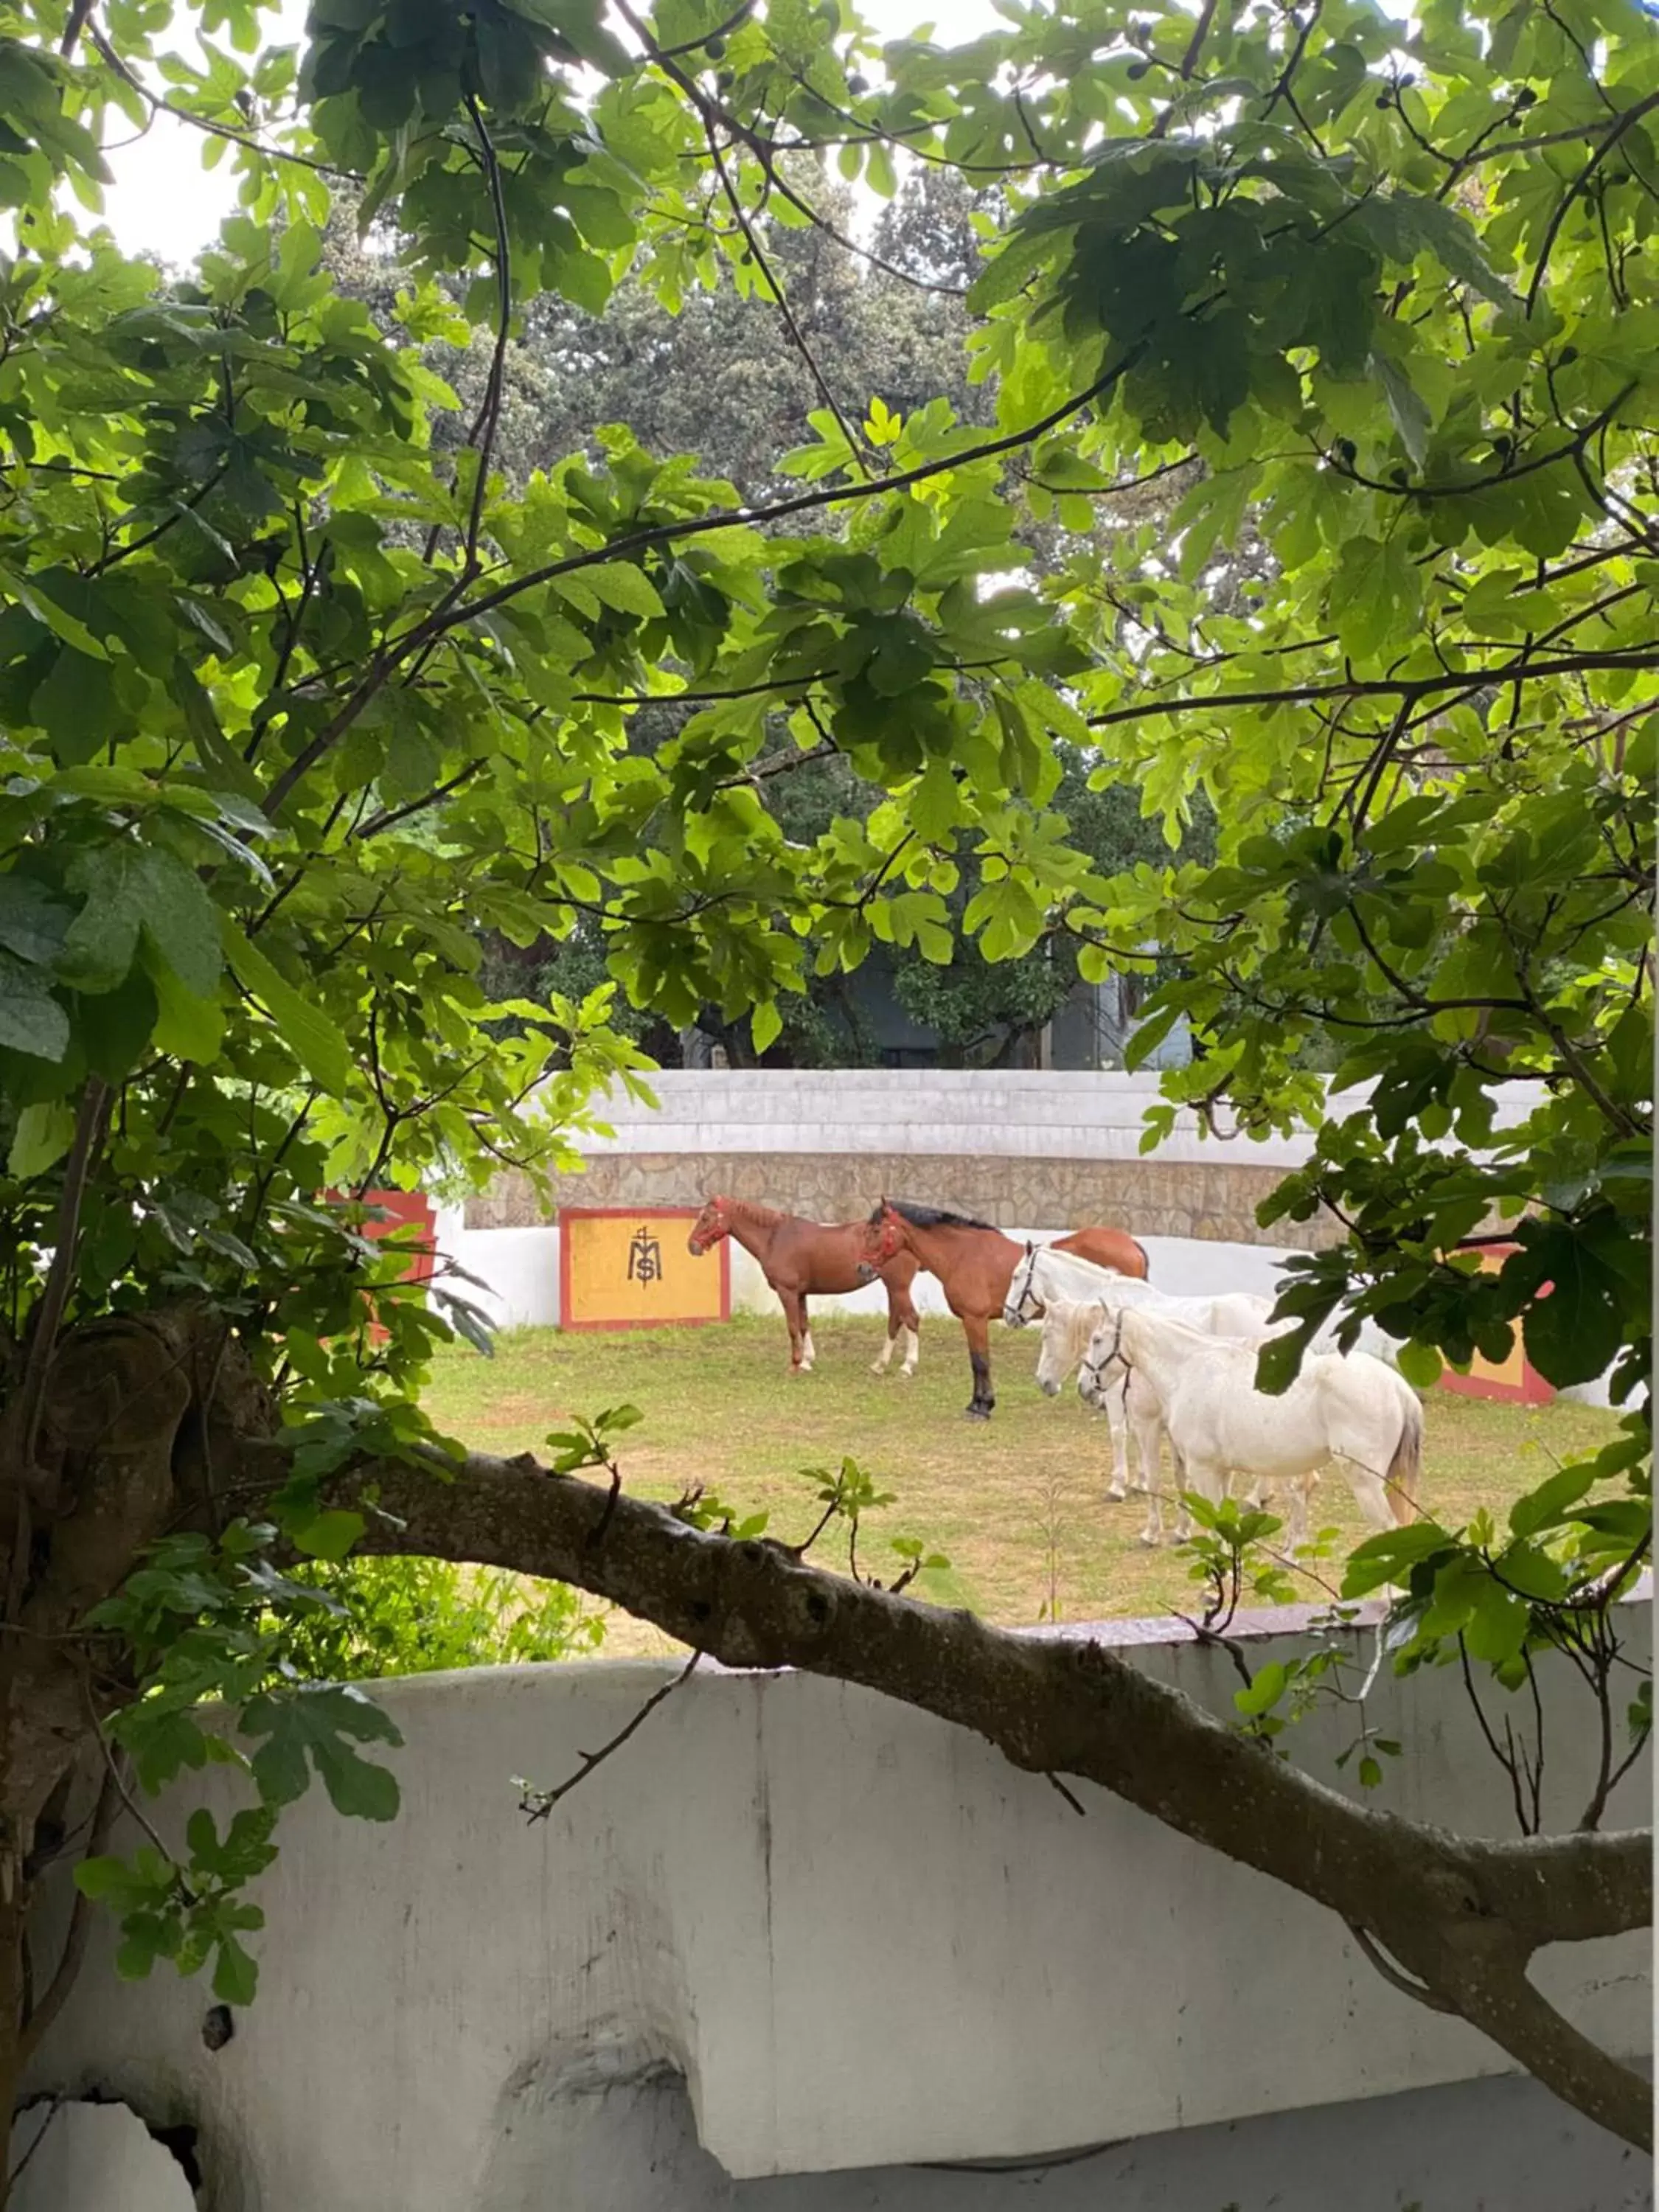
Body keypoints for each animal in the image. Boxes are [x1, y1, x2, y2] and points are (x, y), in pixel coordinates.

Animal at [686, 1203, 929, 1371]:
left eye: (706, 1217)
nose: (692, 1246)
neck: (775, 1238)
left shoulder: (788, 1292)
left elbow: (793, 1327)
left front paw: (794, 1364)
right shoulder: (801, 1293)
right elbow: (804, 1324)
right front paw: (806, 1361)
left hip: (898, 1287)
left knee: (911, 1319)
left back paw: (908, 1366)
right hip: (893, 1288)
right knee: (895, 1321)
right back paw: (879, 1365)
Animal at [863, 1203, 1150, 1425]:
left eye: (876, 1230)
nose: (863, 1268)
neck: (962, 1254)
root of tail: (1131, 1243)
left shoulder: (975, 1320)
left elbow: (980, 1362)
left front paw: (981, 1407)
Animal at [1079, 1301, 1433, 1548]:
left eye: (1096, 1339)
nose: (1085, 1386)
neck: (1189, 1368)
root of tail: (1398, 1388)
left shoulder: (1197, 1463)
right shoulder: (1220, 1470)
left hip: (1366, 1483)